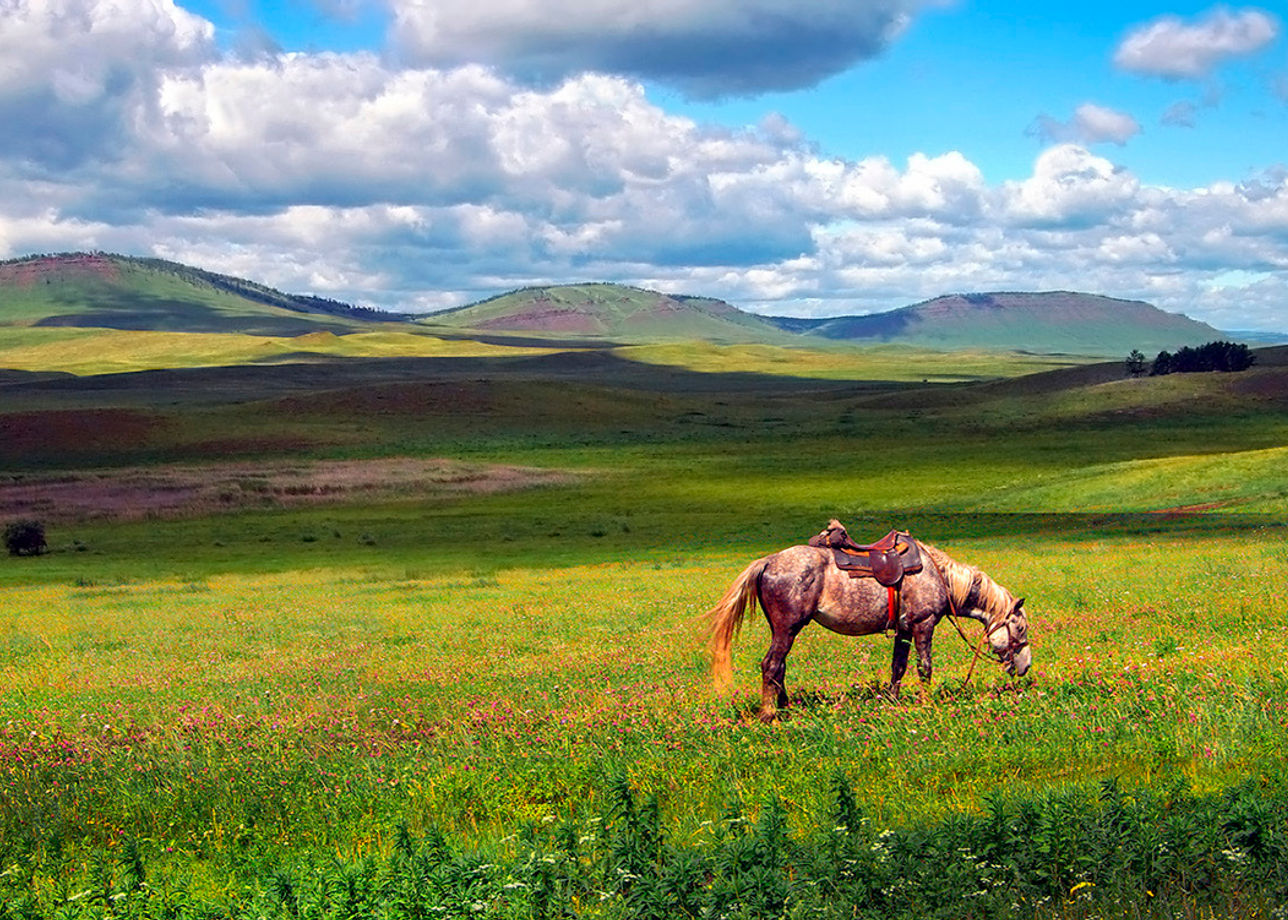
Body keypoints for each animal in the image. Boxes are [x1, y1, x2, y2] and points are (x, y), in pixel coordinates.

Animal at [710, 533, 1030, 721]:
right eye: (1021, 629)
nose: (1025, 667)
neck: (941, 578)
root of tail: (767, 561)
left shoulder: (904, 630)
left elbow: (898, 666)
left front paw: (892, 701)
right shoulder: (923, 624)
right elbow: (924, 666)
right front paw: (926, 704)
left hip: (783, 629)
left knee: (780, 666)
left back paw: (785, 707)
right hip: (787, 627)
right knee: (771, 664)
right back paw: (769, 716)